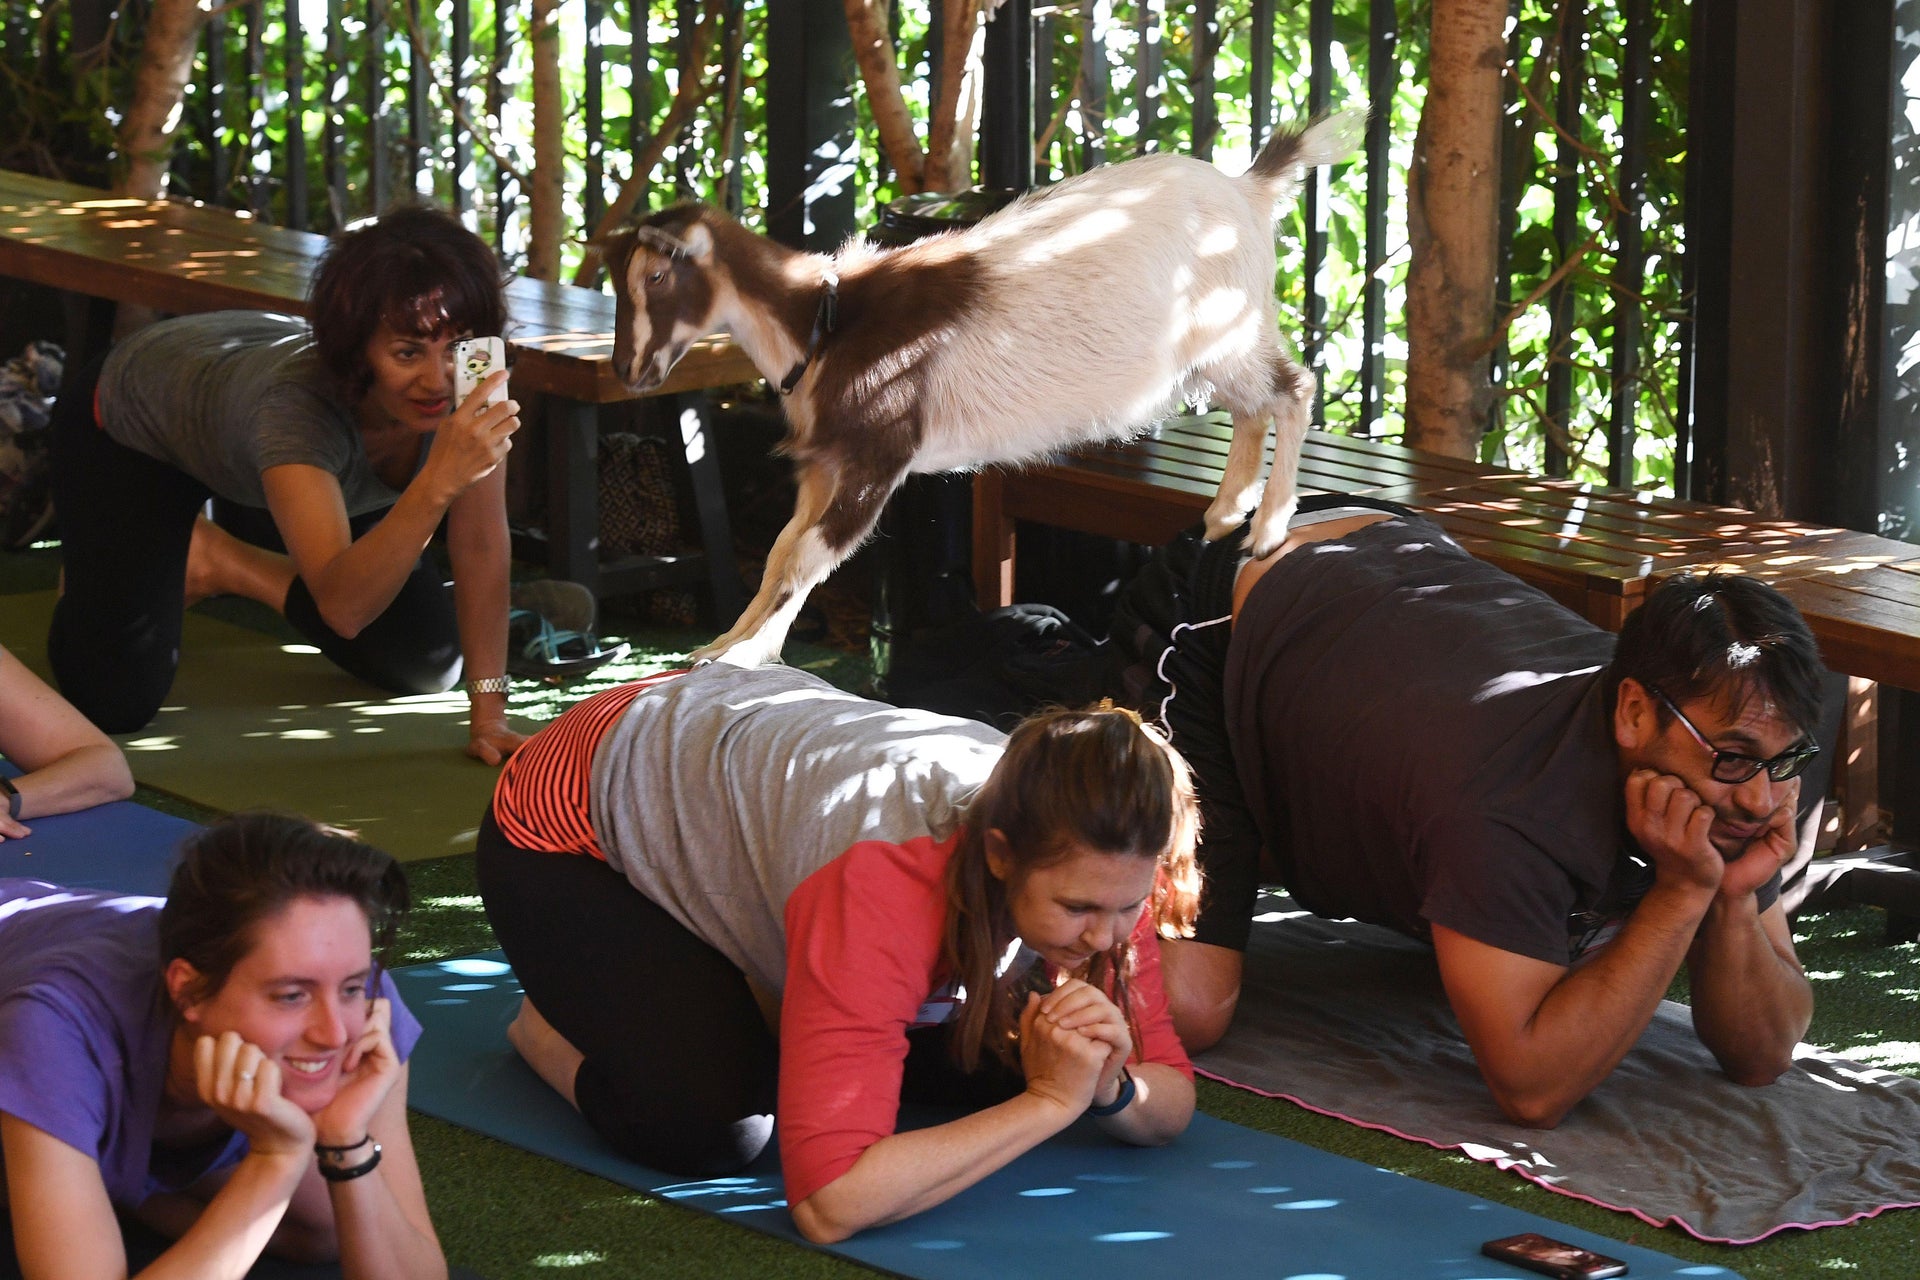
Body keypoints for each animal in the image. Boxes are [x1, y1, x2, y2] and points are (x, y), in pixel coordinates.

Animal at [599, 112, 1367, 671]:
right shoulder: (827, 463)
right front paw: (726, 644)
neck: (826, 319)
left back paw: (1266, 528)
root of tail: (1248, 188)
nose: (629, 372)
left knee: (1293, 389)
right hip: (1217, 354)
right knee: (1253, 409)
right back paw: (1223, 513)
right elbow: (780, 554)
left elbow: (809, 556)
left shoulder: (877, 459)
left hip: (1230, 334)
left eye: (658, 278)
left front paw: (746, 654)